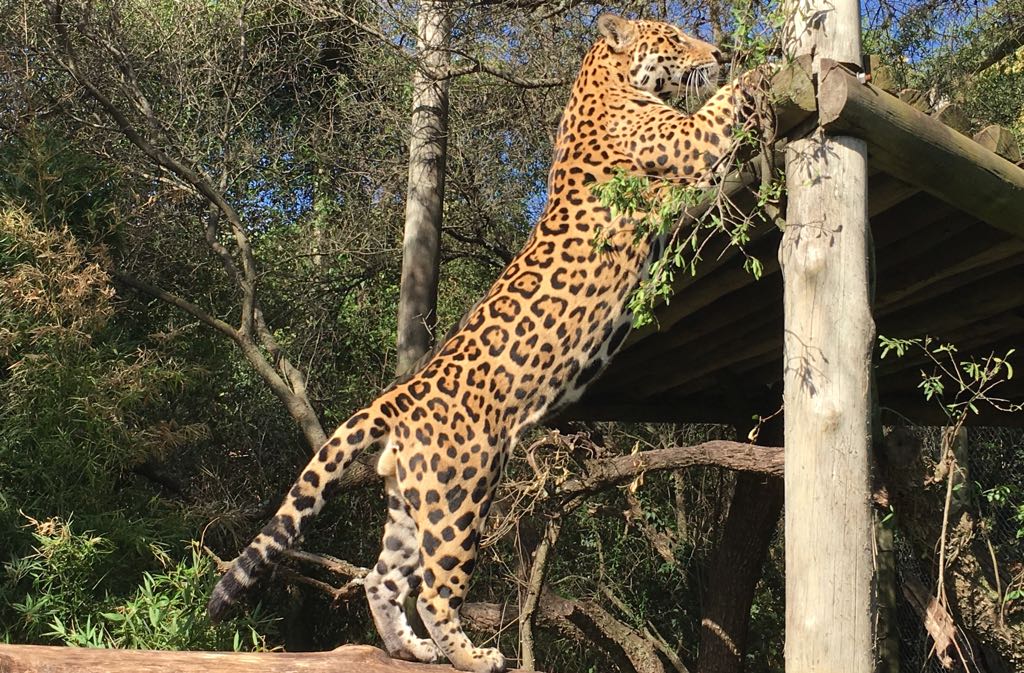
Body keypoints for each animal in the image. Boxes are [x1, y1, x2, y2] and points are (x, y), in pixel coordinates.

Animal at [209, 14, 762, 673]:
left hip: (413, 502)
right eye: (674, 38)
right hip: (460, 499)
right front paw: (772, 66)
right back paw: (472, 656)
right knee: (434, 592)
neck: (602, 82)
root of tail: (402, 394)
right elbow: (722, 109)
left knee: (382, 579)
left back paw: (409, 649)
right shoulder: (687, 141)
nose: (719, 51)